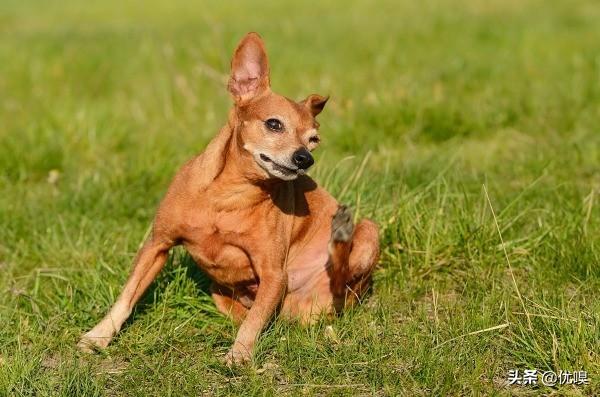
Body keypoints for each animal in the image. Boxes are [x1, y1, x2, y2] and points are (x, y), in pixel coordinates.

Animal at [78, 32, 380, 364]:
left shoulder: (275, 275)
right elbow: (127, 296)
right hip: (218, 292)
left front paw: (240, 354)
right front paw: (98, 336)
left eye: (314, 140)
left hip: (368, 234)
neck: (229, 195)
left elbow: (254, 320)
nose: (304, 159)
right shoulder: (157, 245)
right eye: (274, 124)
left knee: (340, 278)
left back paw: (341, 232)